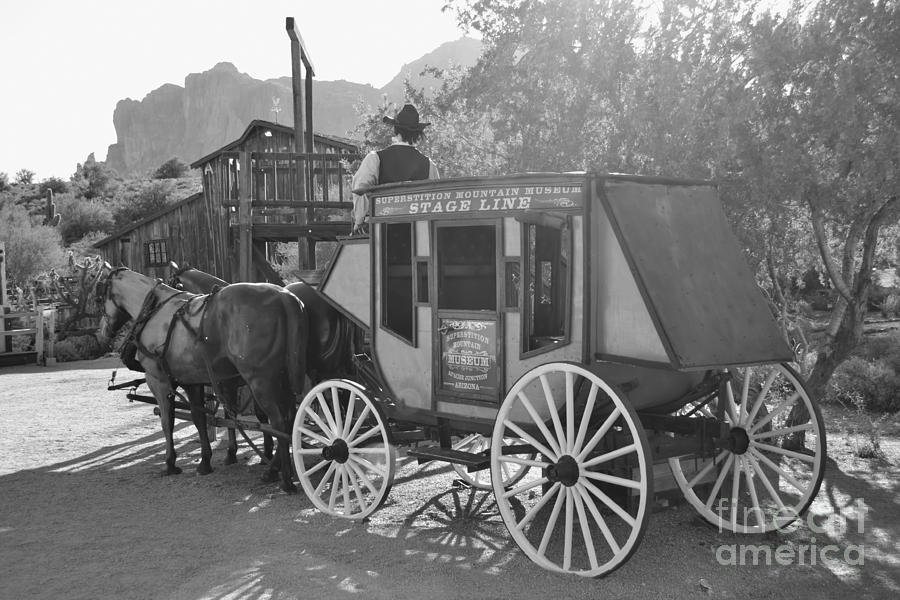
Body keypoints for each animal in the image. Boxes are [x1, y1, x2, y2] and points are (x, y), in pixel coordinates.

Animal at [94, 264, 306, 492]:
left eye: (100, 297)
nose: (101, 334)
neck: (155, 310)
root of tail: (285, 297)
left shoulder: (158, 381)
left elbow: (167, 421)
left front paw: (170, 463)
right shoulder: (193, 382)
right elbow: (200, 419)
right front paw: (206, 461)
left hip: (261, 381)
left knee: (279, 423)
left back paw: (283, 478)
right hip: (281, 380)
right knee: (290, 420)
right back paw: (279, 468)